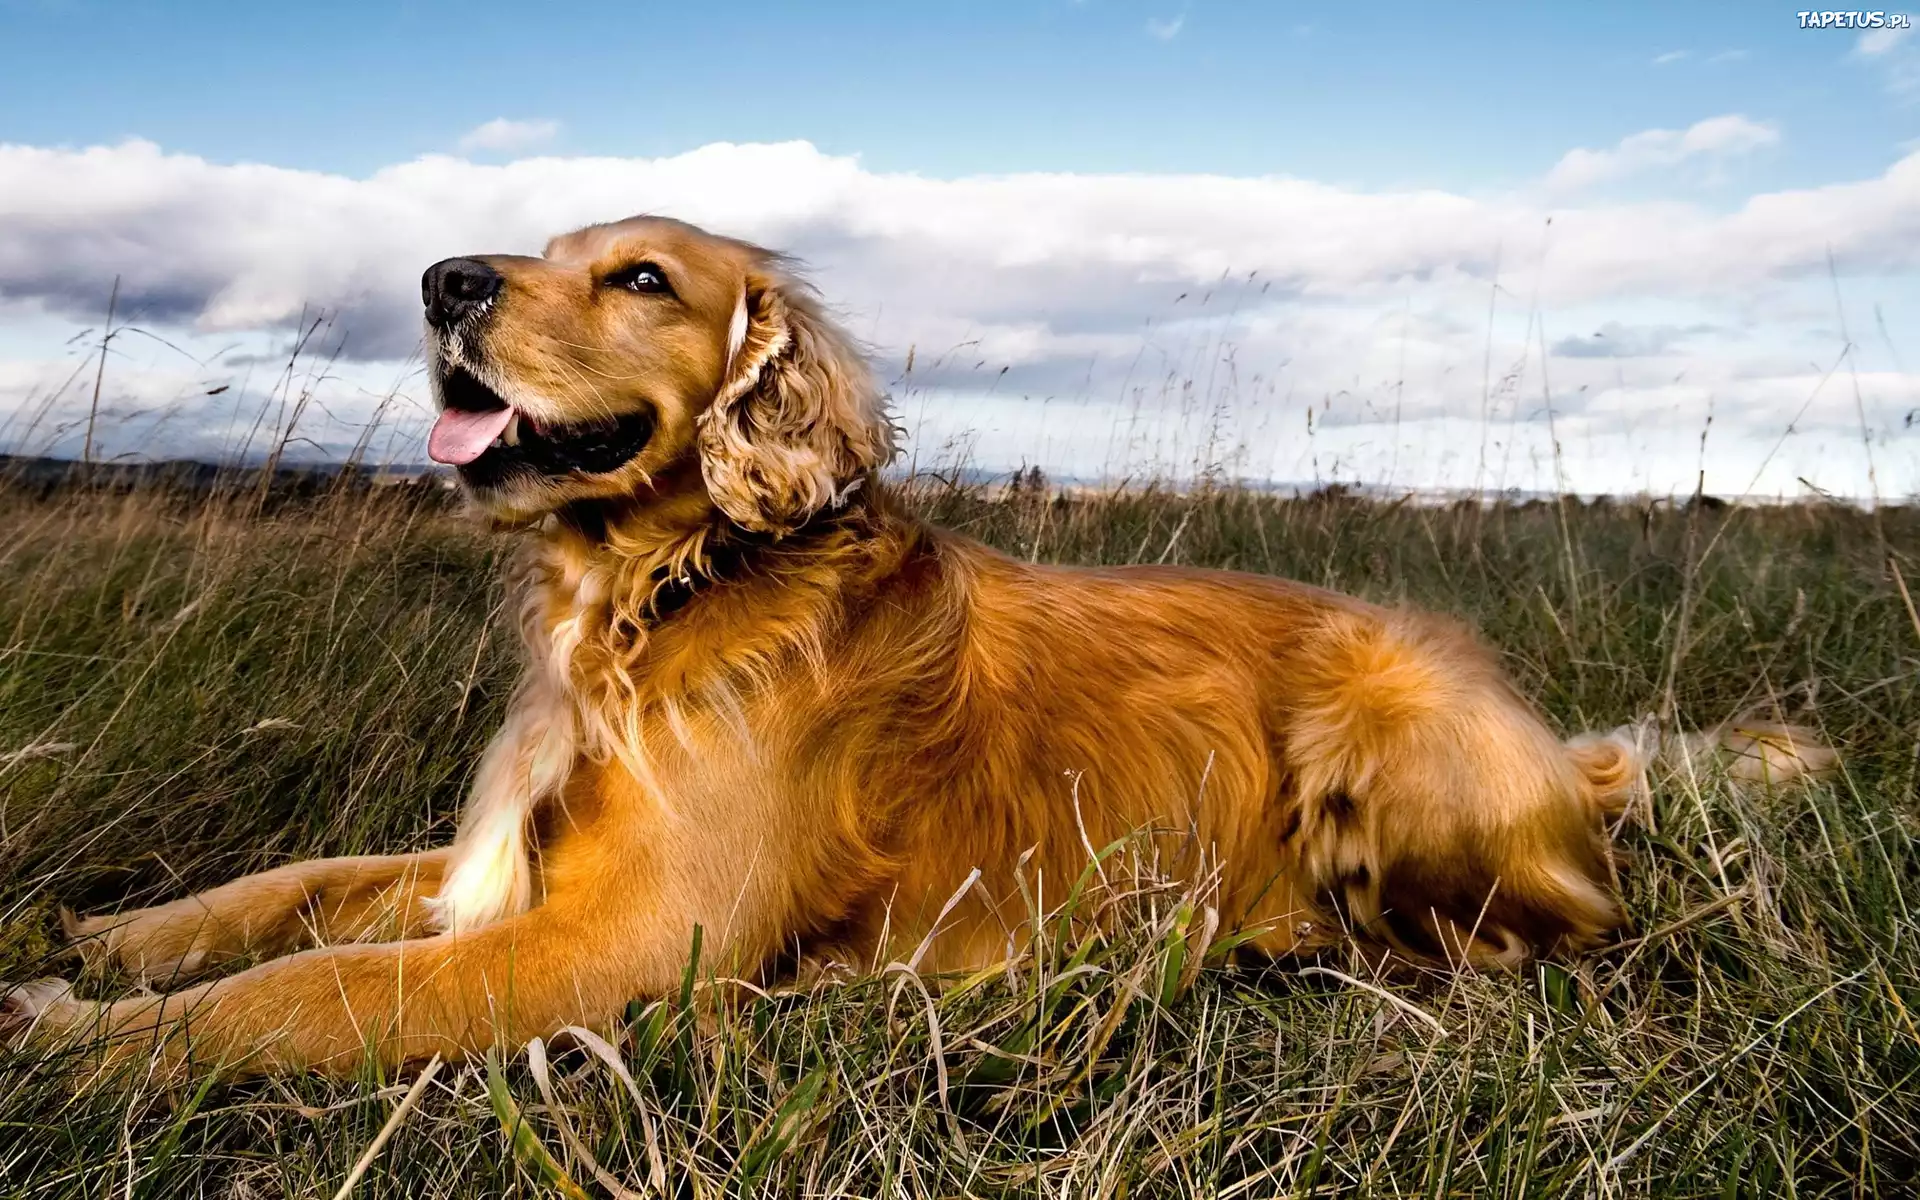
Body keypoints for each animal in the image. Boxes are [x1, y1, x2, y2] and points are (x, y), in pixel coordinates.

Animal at [0, 215, 1835, 1075]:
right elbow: (288, 894)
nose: (442, 279)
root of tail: (1557, 748)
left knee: (1558, 936)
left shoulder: (623, 942)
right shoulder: (506, 865)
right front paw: (105, 935)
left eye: (643, 277)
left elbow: (303, 993)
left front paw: (79, 1046)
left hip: (1378, 731)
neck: (654, 596)